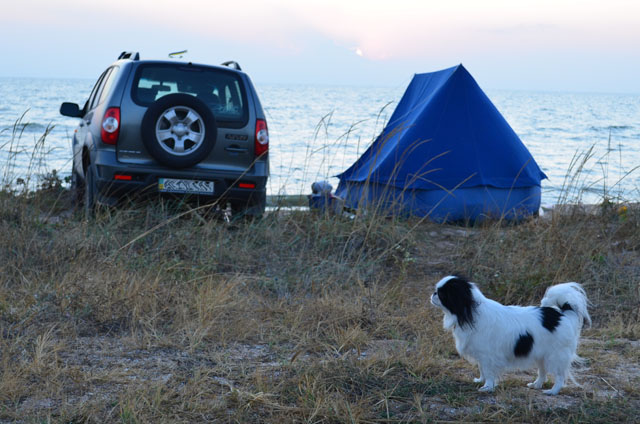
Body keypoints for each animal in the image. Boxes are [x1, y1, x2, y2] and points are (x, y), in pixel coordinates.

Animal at [430, 274, 592, 394]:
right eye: (437, 291)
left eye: (442, 293)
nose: (433, 293)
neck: (470, 312)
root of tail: (563, 314)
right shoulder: (482, 355)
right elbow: (482, 369)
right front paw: (480, 380)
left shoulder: (488, 356)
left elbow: (489, 372)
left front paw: (487, 387)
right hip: (541, 355)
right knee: (542, 372)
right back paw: (536, 385)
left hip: (555, 356)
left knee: (559, 376)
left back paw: (552, 391)